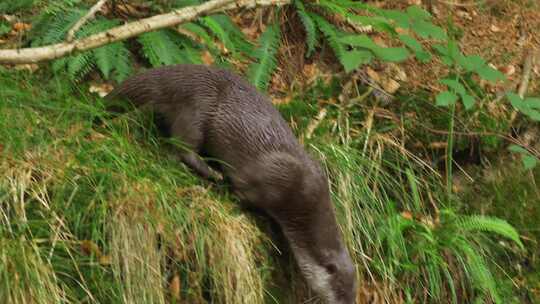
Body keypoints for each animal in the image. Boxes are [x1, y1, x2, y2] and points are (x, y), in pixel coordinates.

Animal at [106, 64, 358, 304]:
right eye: (340, 291)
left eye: (354, 294)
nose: (349, 301)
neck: (302, 199)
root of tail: (171, 77)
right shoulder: (269, 181)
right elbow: (242, 193)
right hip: (197, 107)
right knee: (182, 146)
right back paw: (212, 173)